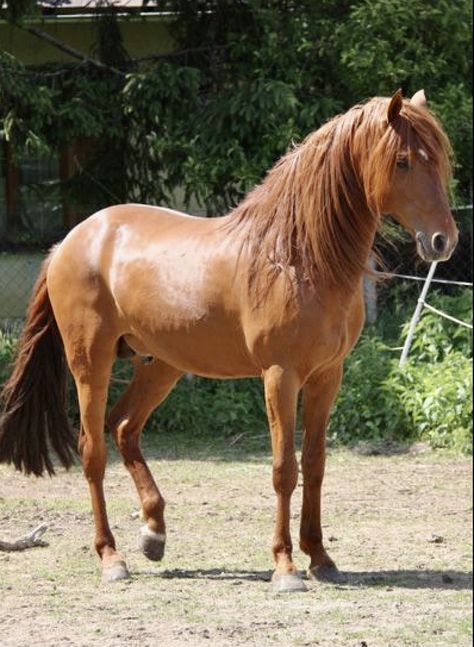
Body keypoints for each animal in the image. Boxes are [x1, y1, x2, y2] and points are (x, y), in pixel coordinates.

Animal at [0, 90, 460, 592]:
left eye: (439, 159)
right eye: (402, 161)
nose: (443, 240)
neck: (297, 258)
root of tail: (70, 240)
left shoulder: (327, 376)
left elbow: (315, 464)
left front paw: (321, 558)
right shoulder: (280, 376)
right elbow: (284, 469)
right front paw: (285, 566)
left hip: (160, 364)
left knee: (123, 426)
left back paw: (154, 533)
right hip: (91, 364)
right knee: (92, 452)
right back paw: (111, 558)